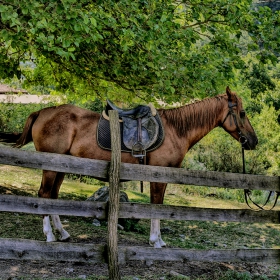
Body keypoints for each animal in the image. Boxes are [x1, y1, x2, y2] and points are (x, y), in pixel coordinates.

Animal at [15, 87, 258, 247]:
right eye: (242, 113)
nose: (253, 141)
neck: (176, 129)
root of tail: (43, 112)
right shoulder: (158, 176)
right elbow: (156, 206)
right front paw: (156, 240)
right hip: (50, 167)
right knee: (44, 194)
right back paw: (49, 235)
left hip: (62, 168)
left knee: (53, 196)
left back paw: (62, 233)